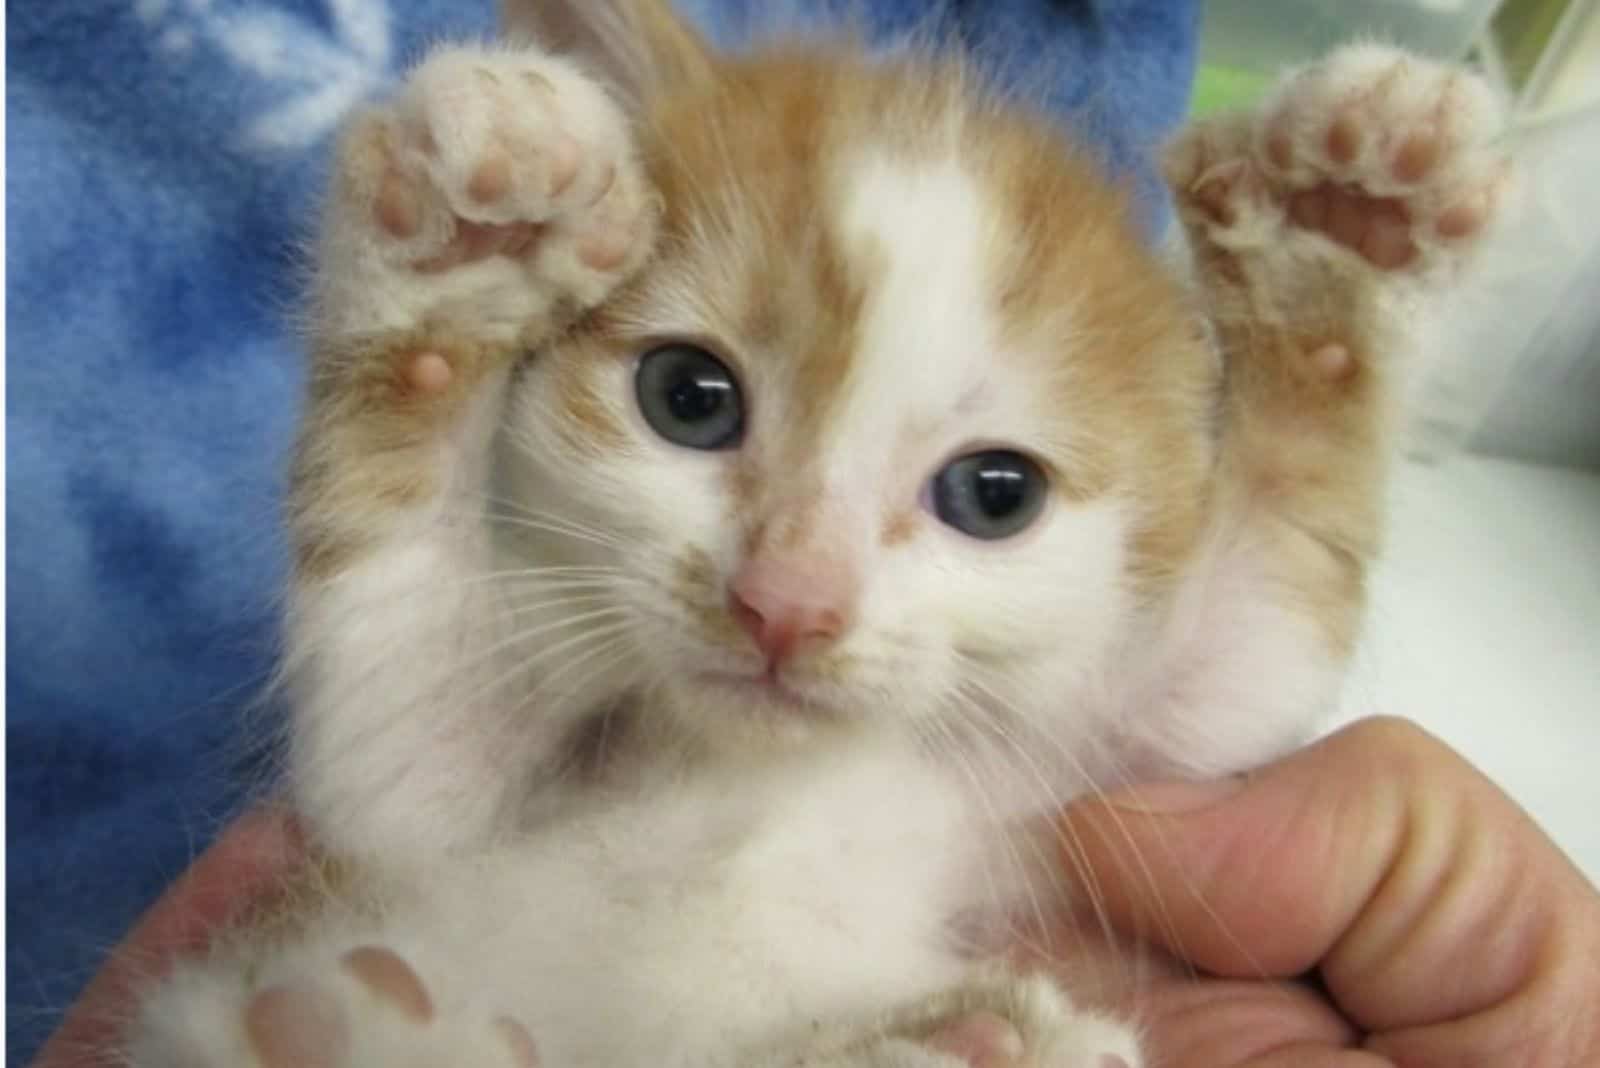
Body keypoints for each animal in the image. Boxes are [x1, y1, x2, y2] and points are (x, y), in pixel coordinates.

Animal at [128, 2, 1510, 1068]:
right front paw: (469, 248)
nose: (787, 602)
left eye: (995, 494)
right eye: (688, 398)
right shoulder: (408, 810)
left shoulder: (1110, 763)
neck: (754, 771)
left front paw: (1337, 248)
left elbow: (1253, 625)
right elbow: (396, 689)